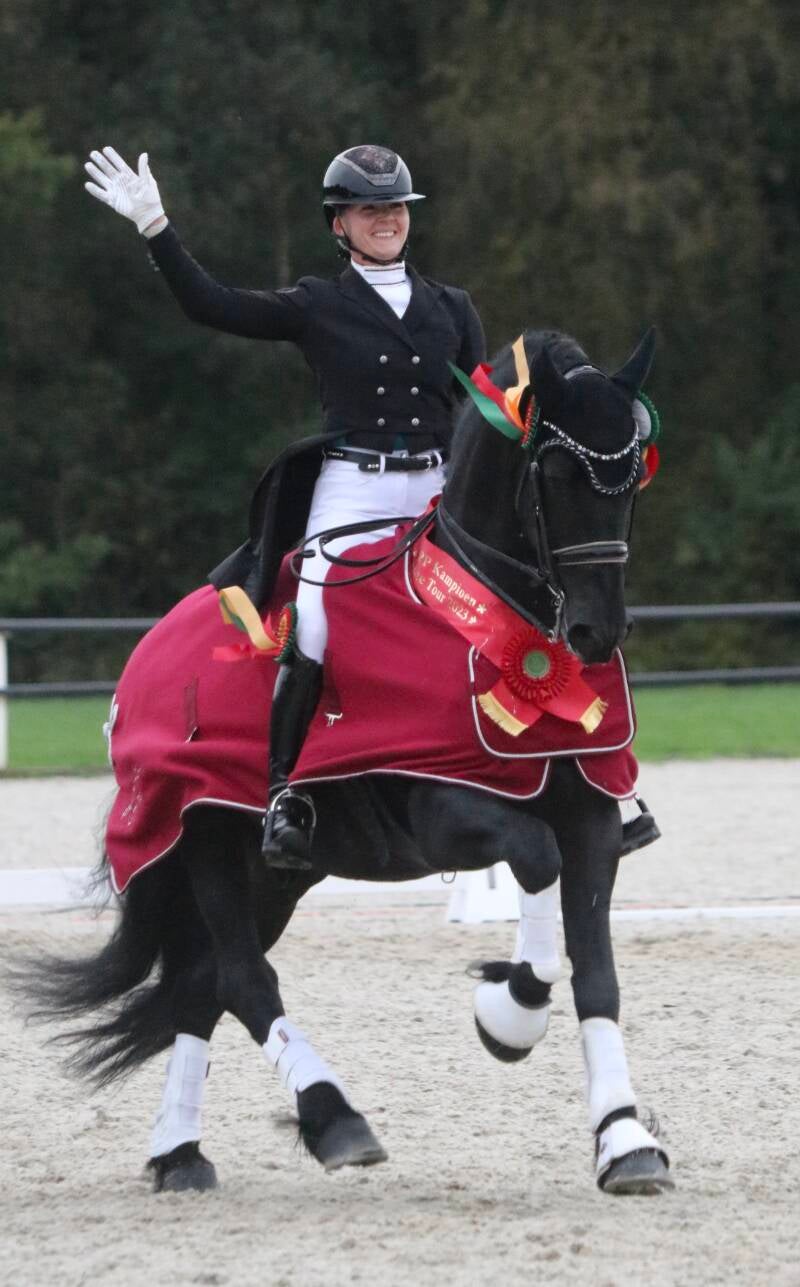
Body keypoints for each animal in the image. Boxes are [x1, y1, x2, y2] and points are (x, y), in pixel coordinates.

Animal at [17, 327, 672, 1197]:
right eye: (560, 474)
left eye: (631, 479)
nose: (599, 632)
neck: (486, 621)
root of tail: (145, 656)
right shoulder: (446, 811)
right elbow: (534, 861)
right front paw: (508, 1014)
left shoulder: (592, 813)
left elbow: (598, 974)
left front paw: (625, 1139)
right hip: (205, 838)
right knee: (241, 978)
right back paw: (335, 1119)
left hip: (274, 873)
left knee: (200, 986)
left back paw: (180, 1154)